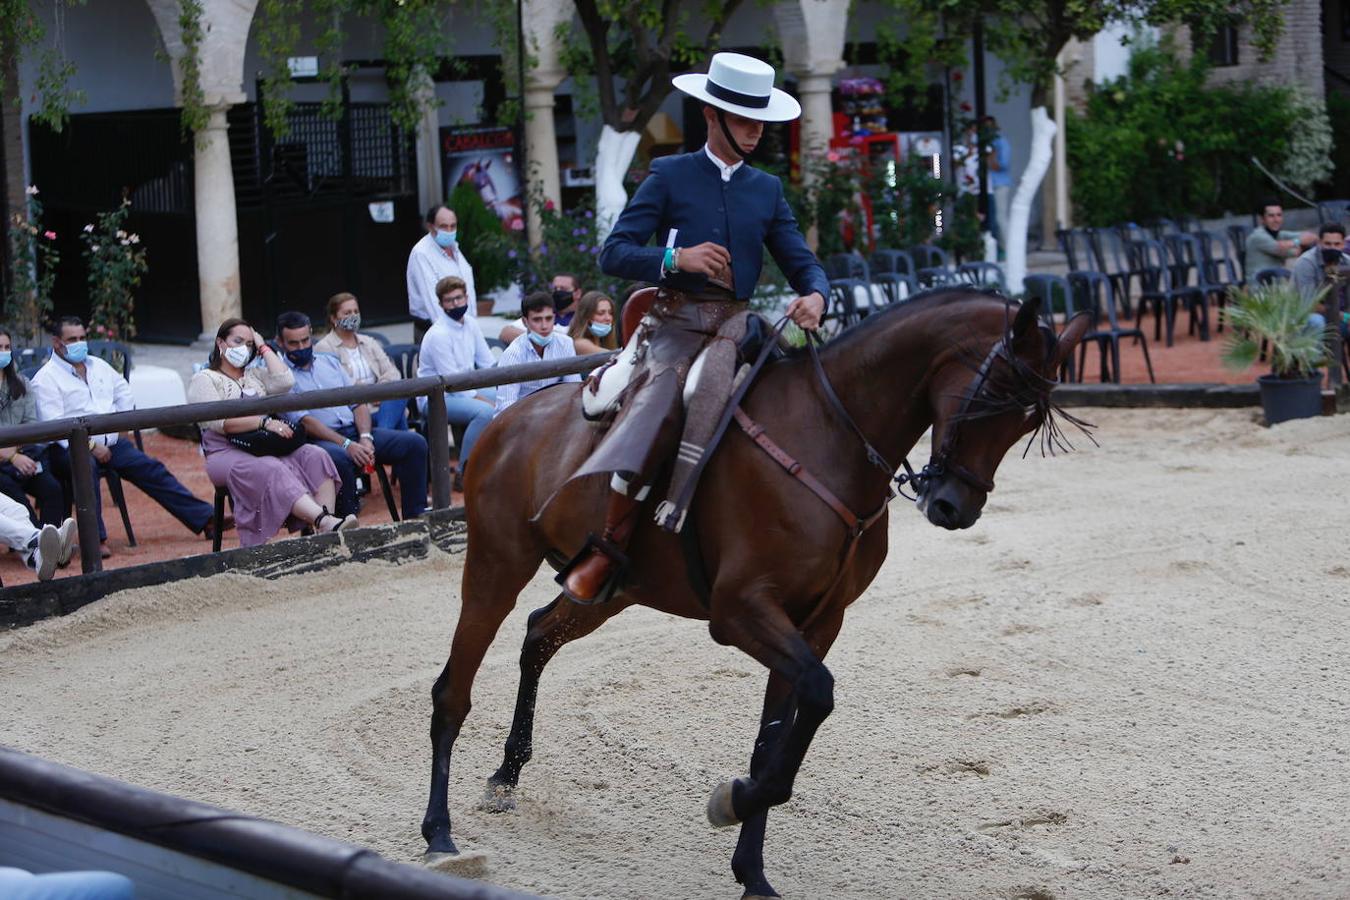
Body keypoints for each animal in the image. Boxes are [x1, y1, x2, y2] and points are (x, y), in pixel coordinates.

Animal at [415, 292, 1090, 895]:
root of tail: (510, 418)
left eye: (1028, 419)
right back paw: (439, 834)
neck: (830, 435)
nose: (954, 506)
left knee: (538, 635)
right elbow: (815, 696)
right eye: (991, 398)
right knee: (454, 689)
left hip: (612, 591)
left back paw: (506, 775)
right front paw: (731, 803)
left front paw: (751, 869)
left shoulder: (816, 622)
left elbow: (776, 740)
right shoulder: (741, 612)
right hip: (496, 566)